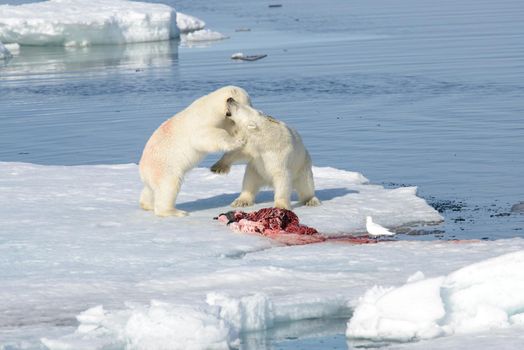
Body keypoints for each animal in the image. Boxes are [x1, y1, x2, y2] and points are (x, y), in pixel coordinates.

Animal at [139, 86, 252, 216]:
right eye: (248, 103)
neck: (212, 108)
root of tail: (142, 169)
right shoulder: (202, 122)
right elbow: (206, 136)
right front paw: (238, 141)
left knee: (151, 190)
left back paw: (147, 205)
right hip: (165, 167)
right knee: (168, 186)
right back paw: (175, 212)